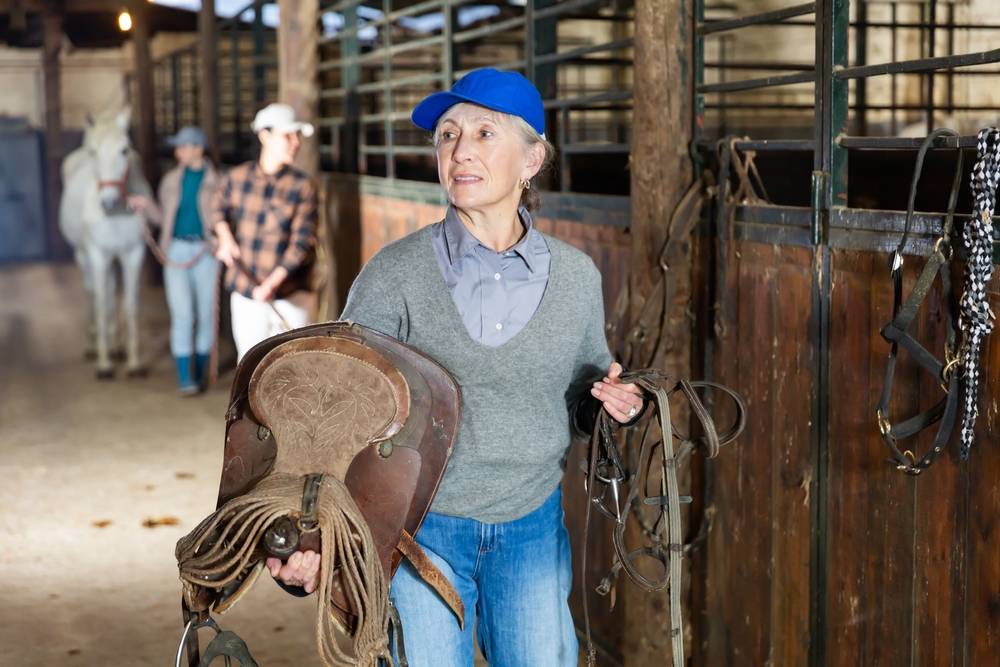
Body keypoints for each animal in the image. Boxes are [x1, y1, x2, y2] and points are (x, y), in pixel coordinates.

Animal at [58, 110, 151, 380]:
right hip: (83, 255)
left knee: (110, 291)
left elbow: (130, 306)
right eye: (93, 152)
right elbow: (100, 304)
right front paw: (104, 364)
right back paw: (94, 346)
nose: (108, 201)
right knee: (93, 293)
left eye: (124, 149)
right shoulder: (98, 254)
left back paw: (116, 345)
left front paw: (134, 363)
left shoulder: (133, 253)